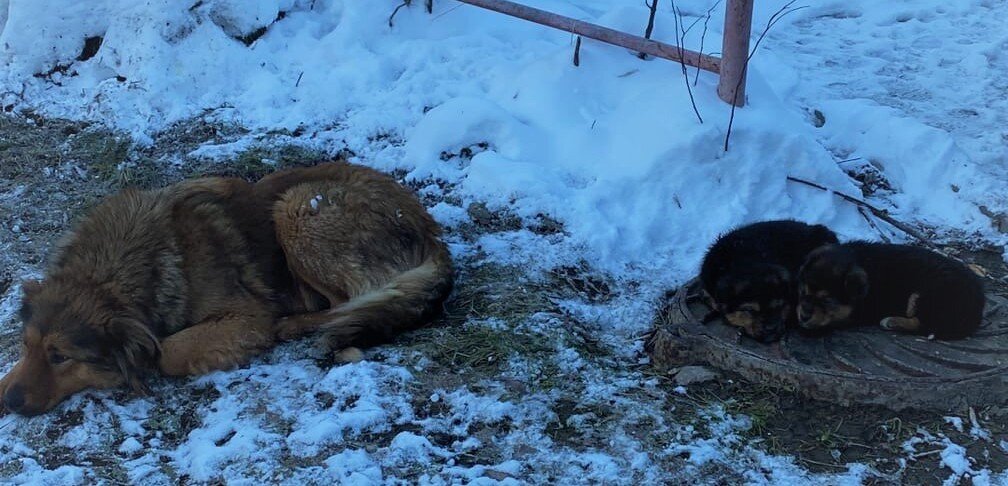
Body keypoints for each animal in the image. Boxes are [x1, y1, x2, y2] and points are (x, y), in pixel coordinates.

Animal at [0, 161, 451, 415]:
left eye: (61, 356)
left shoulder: (246, 316)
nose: (9, 403)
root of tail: (430, 229)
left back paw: (295, 325)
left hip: (298, 207)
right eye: (25, 345)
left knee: (349, 302)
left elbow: (168, 351)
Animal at [794, 241, 983, 340]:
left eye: (827, 300)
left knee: (924, 324)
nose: (804, 316)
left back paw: (892, 321)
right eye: (803, 292)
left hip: (930, 294)